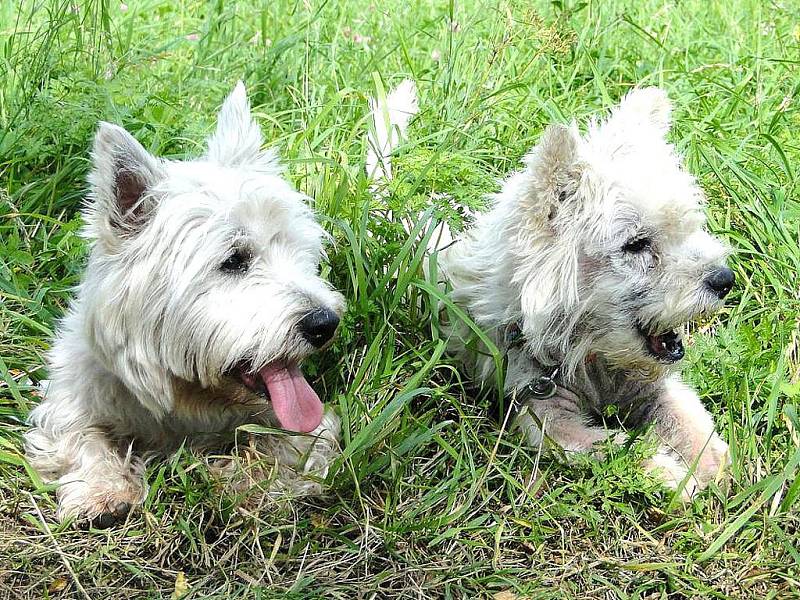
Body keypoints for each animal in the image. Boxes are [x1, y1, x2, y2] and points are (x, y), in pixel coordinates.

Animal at [24, 81, 344, 524]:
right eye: (234, 260)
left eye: (301, 253)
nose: (324, 322)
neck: (184, 393)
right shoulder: (70, 397)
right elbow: (80, 437)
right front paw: (102, 489)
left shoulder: (310, 428)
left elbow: (286, 449)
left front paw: (235, 480)